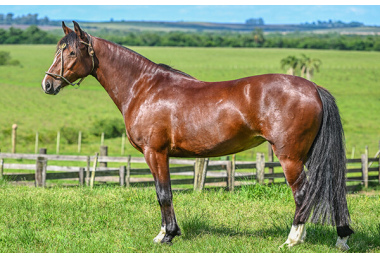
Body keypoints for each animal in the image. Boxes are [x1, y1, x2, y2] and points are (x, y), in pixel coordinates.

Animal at [40, 21, 354, 250]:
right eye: (58, 52)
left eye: (71, 53)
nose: (47, 84)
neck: (144, 88)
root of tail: (313, 87)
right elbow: (165, 193)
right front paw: (171, 232)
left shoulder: (155, 152)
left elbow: (163, 193)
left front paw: (165, 236)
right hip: (308, 155)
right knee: (332, 189)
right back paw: (342, 237)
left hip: (290, 157)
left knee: (302, 194)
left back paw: (292, 240)